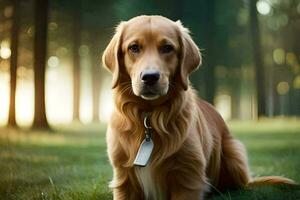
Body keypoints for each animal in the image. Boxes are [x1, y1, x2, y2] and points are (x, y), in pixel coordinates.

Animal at [102, 14, 294, 199]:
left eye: (167, 48)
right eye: (134, 48)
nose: (150, 77)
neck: (150, 116)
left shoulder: (188, 178)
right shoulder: (124, 180)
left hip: (234, 154)